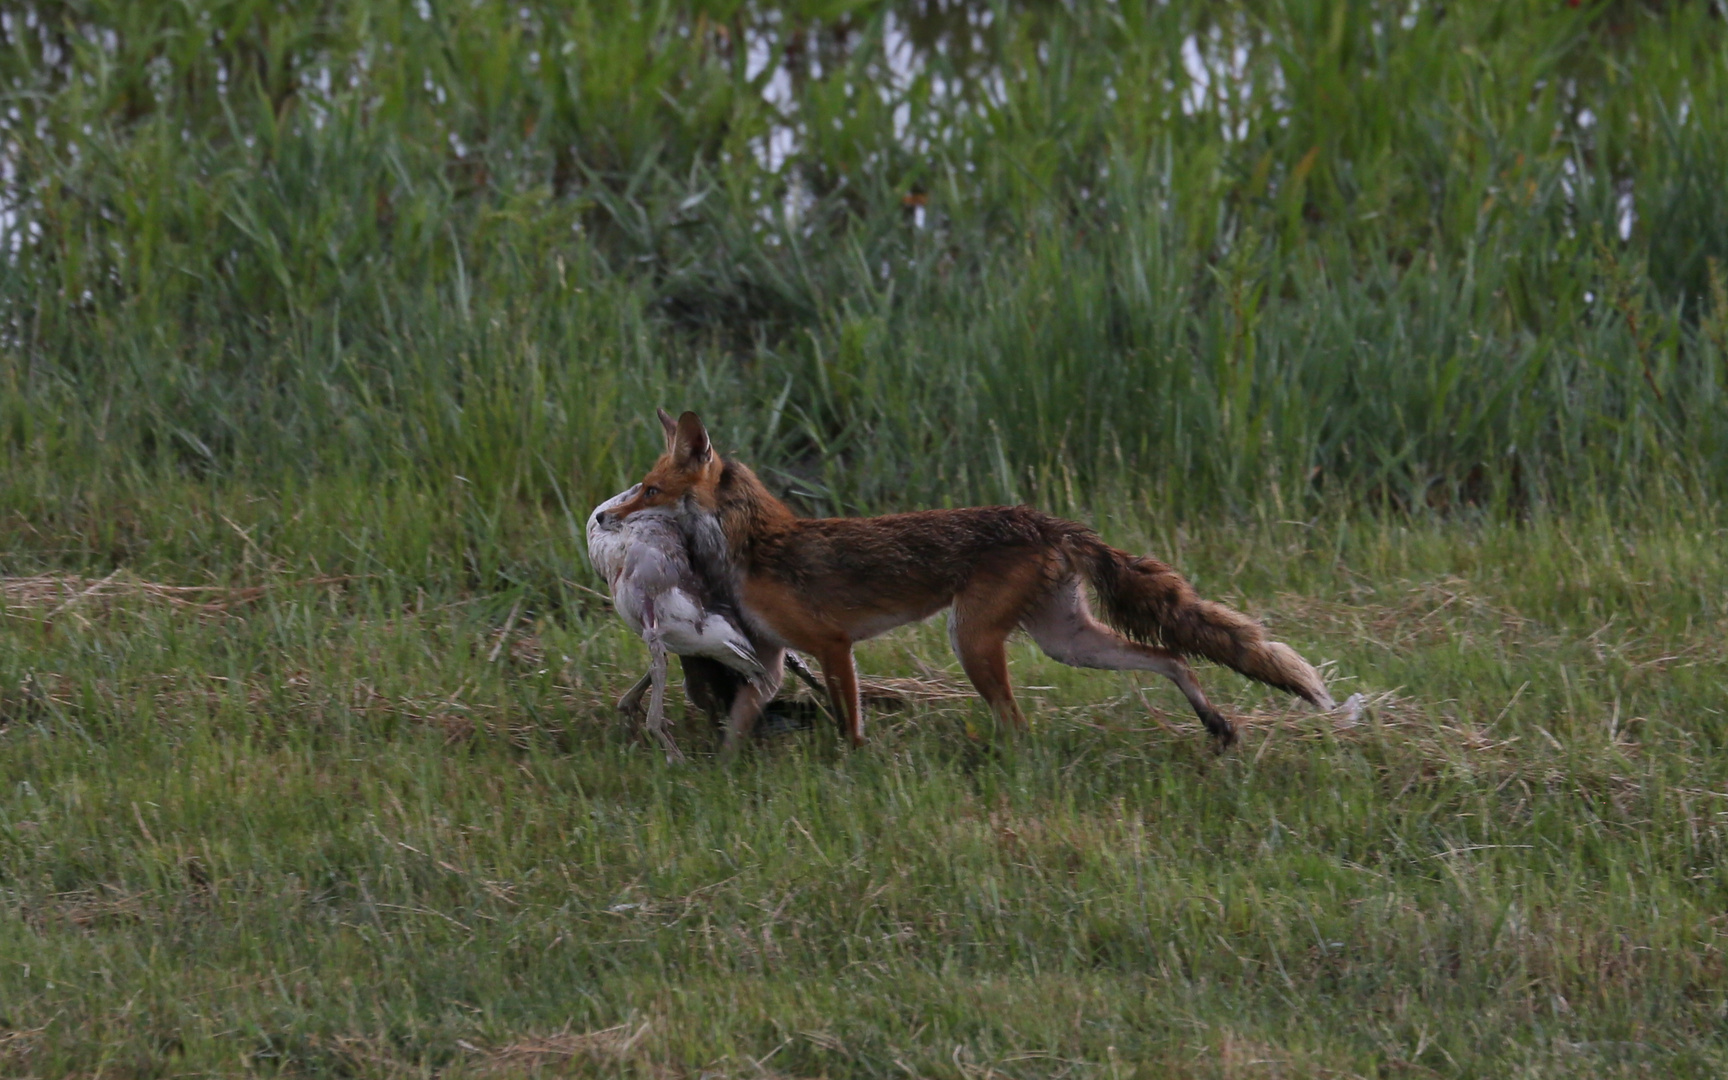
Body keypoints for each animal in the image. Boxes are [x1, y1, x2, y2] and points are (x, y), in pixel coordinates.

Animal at [597, 407, 1347, 753]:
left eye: (649, 489)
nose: (604, 516)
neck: (751, 546)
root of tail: (1047, 521)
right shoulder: (775, 658)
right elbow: (738, 727)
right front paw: (721, 773)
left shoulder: (833, 645)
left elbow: (851, 727)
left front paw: (854, 770)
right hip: (1066, 642)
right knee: (1170, 656)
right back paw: (1215, 723)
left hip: (974, 640)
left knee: (1020, 724)